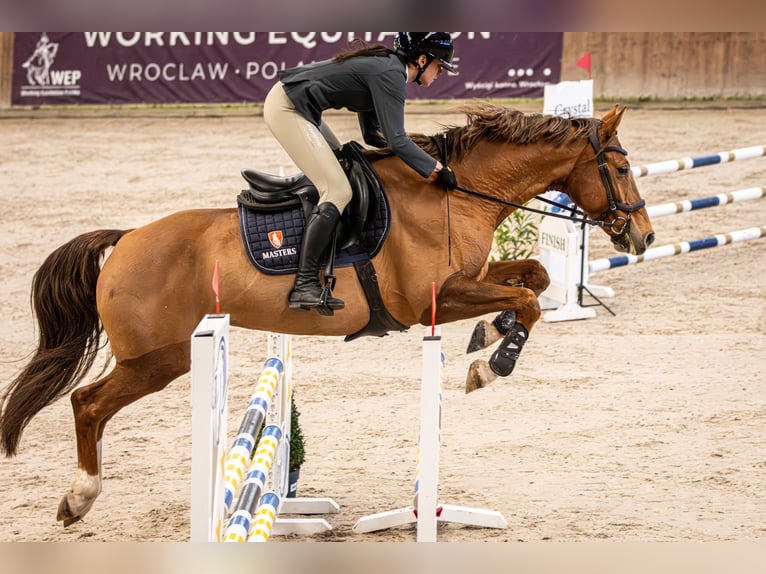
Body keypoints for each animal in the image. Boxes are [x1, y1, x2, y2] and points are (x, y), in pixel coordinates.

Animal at [0, 102, 654, 527]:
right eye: (622, 169)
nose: (643, 236)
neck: (452, 193)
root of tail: (126, 238)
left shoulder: (466, 281)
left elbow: (535, 280)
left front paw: (484, 341)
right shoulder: (435, 297)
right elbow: (526, 300)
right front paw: (492, 365)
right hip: (158, 360)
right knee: (87, 403)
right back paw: (79, 498)